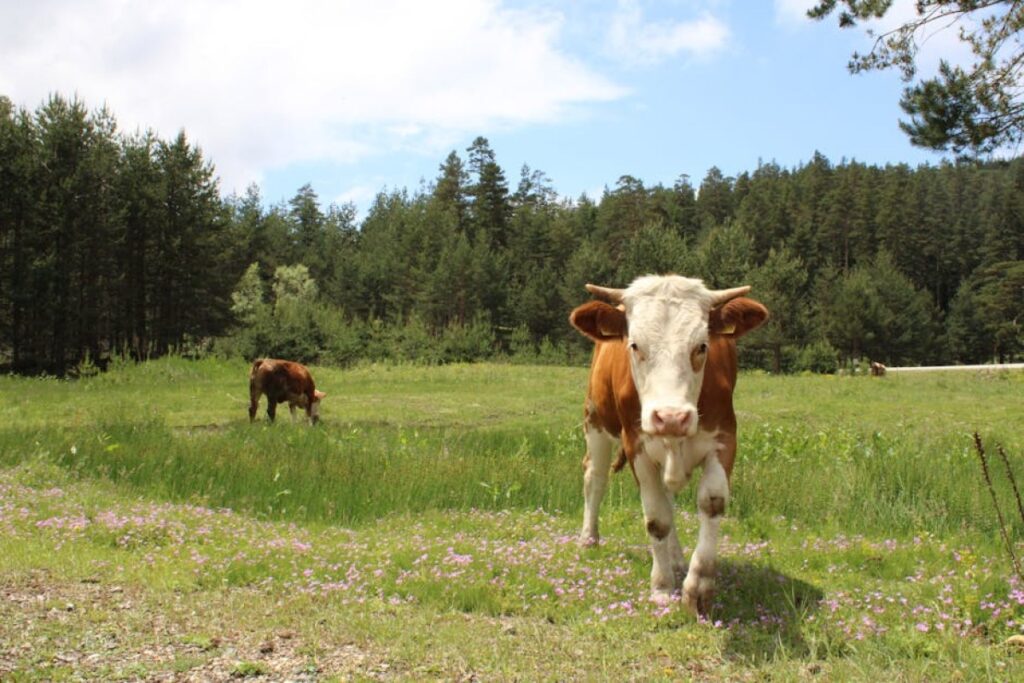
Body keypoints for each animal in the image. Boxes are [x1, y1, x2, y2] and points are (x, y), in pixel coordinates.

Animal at [569, 274, 768, 615]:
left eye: (702, 346)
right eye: (635, 345)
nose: (671, 417)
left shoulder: (725, 437)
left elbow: (711, 503)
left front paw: (698, 588)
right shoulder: (636, 445)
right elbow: (657, 519)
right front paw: (662, 587)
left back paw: (676, 558)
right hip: (594, 419)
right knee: (595, 477)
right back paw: (589, 538)